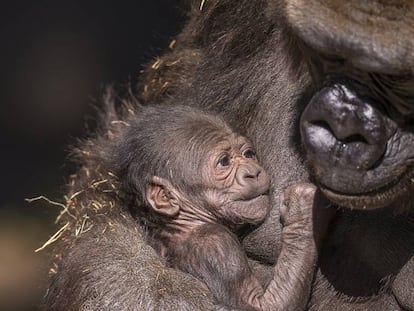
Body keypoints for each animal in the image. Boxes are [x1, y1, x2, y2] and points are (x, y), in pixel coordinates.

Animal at [115, 105, 326, 311]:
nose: (253, 173)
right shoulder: (217, 244)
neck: (185, 222)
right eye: (224, 162)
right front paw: (303, 210)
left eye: (248, 154)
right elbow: (264, 305)